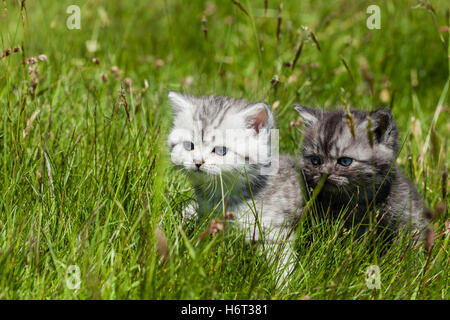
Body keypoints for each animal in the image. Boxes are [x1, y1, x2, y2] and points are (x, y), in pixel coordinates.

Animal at [168, 91, 302, 284]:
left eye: (221, 150)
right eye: (189, 146)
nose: (198, 162)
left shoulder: (274, 230)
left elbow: (282, 262)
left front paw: (285, 287)